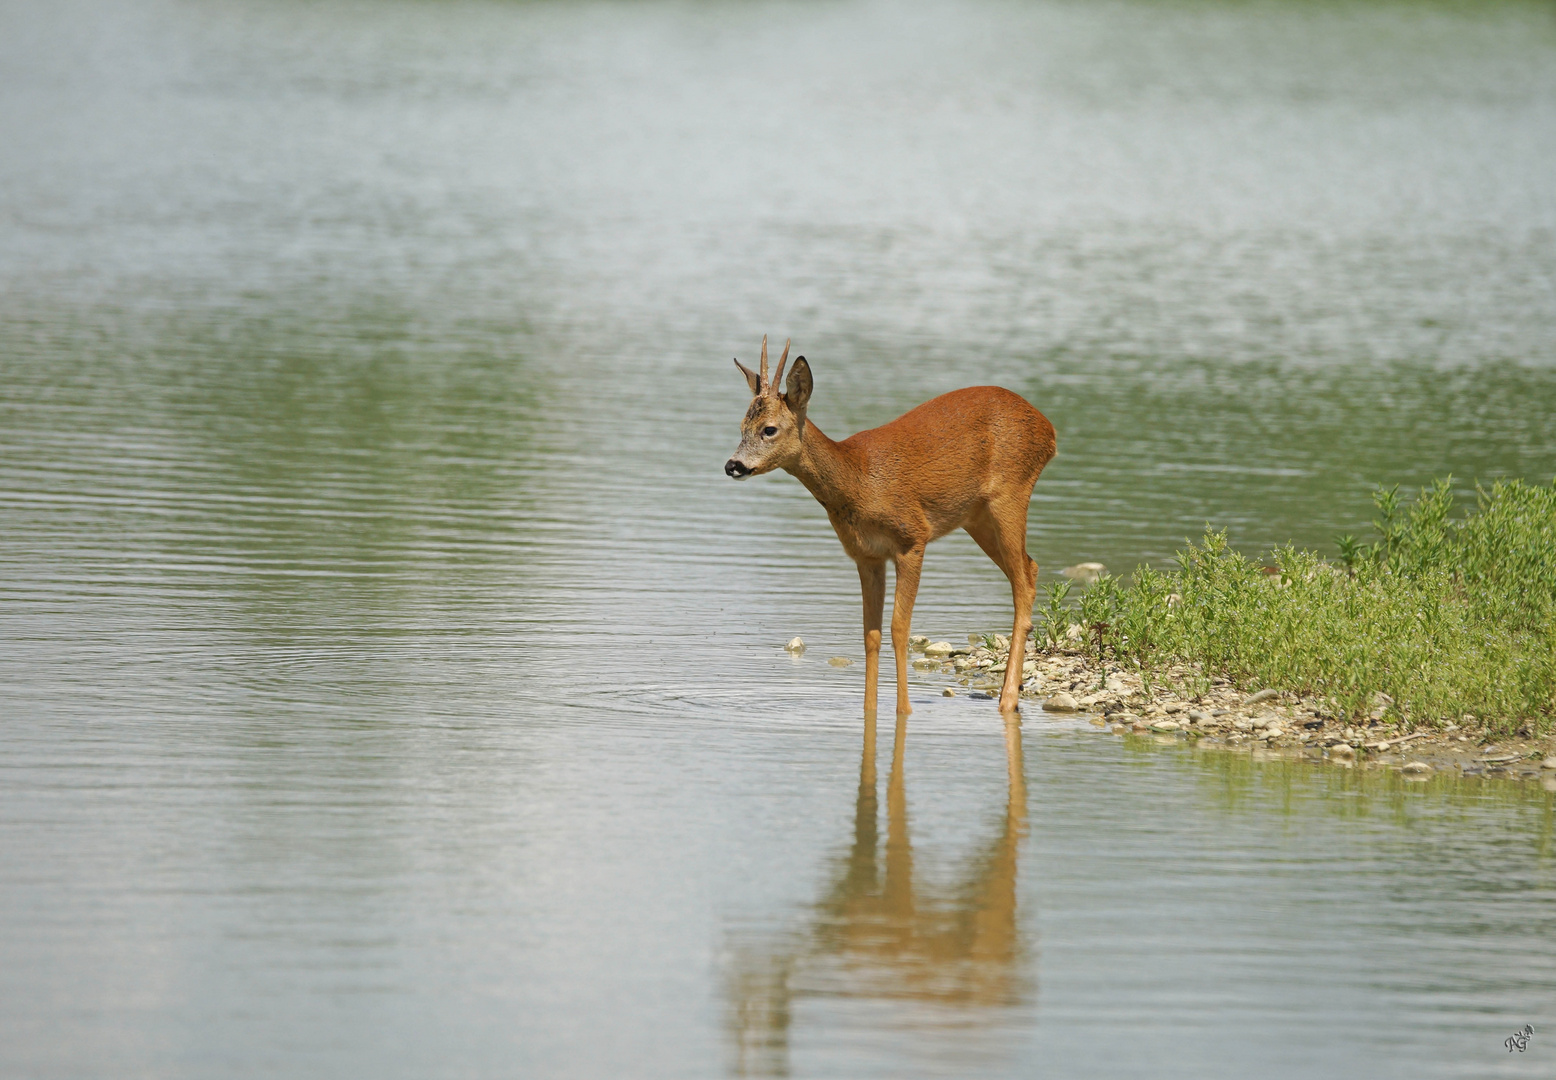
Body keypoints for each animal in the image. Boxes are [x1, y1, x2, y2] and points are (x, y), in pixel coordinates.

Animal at [721, 334, 1051, 715]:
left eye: (769, 429)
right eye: (741, 427)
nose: (733, 465)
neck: (859, 480)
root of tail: (1050, 430)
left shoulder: (912, 538)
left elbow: (899, 629)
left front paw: (904, 709)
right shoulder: (867, 556)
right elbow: (871, 634)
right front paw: (870, 709)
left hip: (1010, 494)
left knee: (1022, 582)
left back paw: (1008, 699)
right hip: (977, 517)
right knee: (1030, 568)